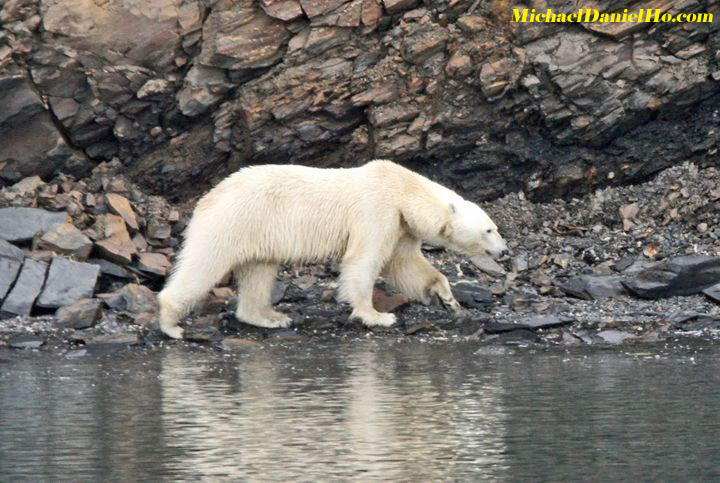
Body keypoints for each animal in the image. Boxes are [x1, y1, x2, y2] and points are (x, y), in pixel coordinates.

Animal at [158, 161, 506, 338]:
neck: (404, 190)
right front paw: (377, 315)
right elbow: (364, 260)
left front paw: (447, 297)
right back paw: (172, 324)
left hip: (257, 231)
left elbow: (405, 265)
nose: (503, 251)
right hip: (234, 221)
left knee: (259, 272)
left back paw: (271, 317)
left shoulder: (401, 225)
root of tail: (208, 197)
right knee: (204, 264)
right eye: (490, 229)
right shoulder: (377, 210)